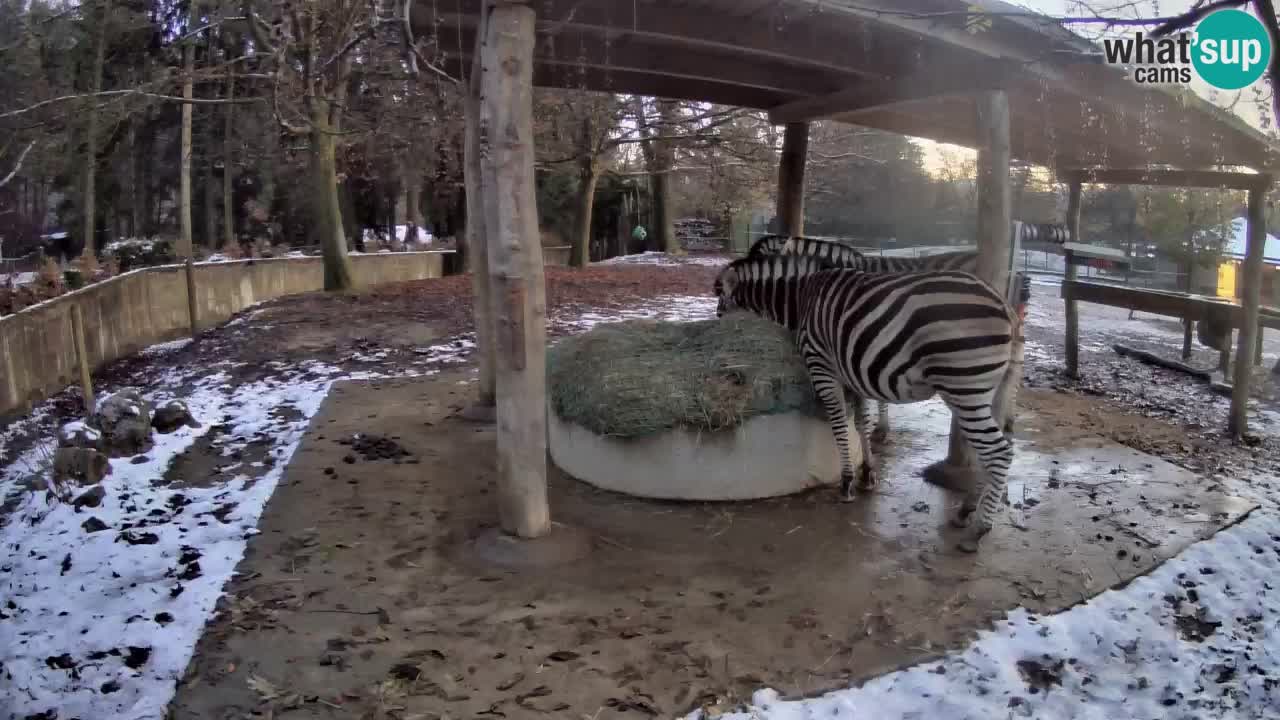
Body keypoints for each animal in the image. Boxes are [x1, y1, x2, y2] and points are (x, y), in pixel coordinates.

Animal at [711, 252, 1018, 548]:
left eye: (721, 309)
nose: (720, 338)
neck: (802, 297)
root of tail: (1004, 304)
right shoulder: (851, 371)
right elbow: (860, 422)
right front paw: (868, 475)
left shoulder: (821, 365)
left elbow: (838, 424)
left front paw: (847, 482)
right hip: (977, 391)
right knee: (987, 450)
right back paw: (966, 510)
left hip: (964, 386)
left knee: (999, 451)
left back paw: (979, 529)